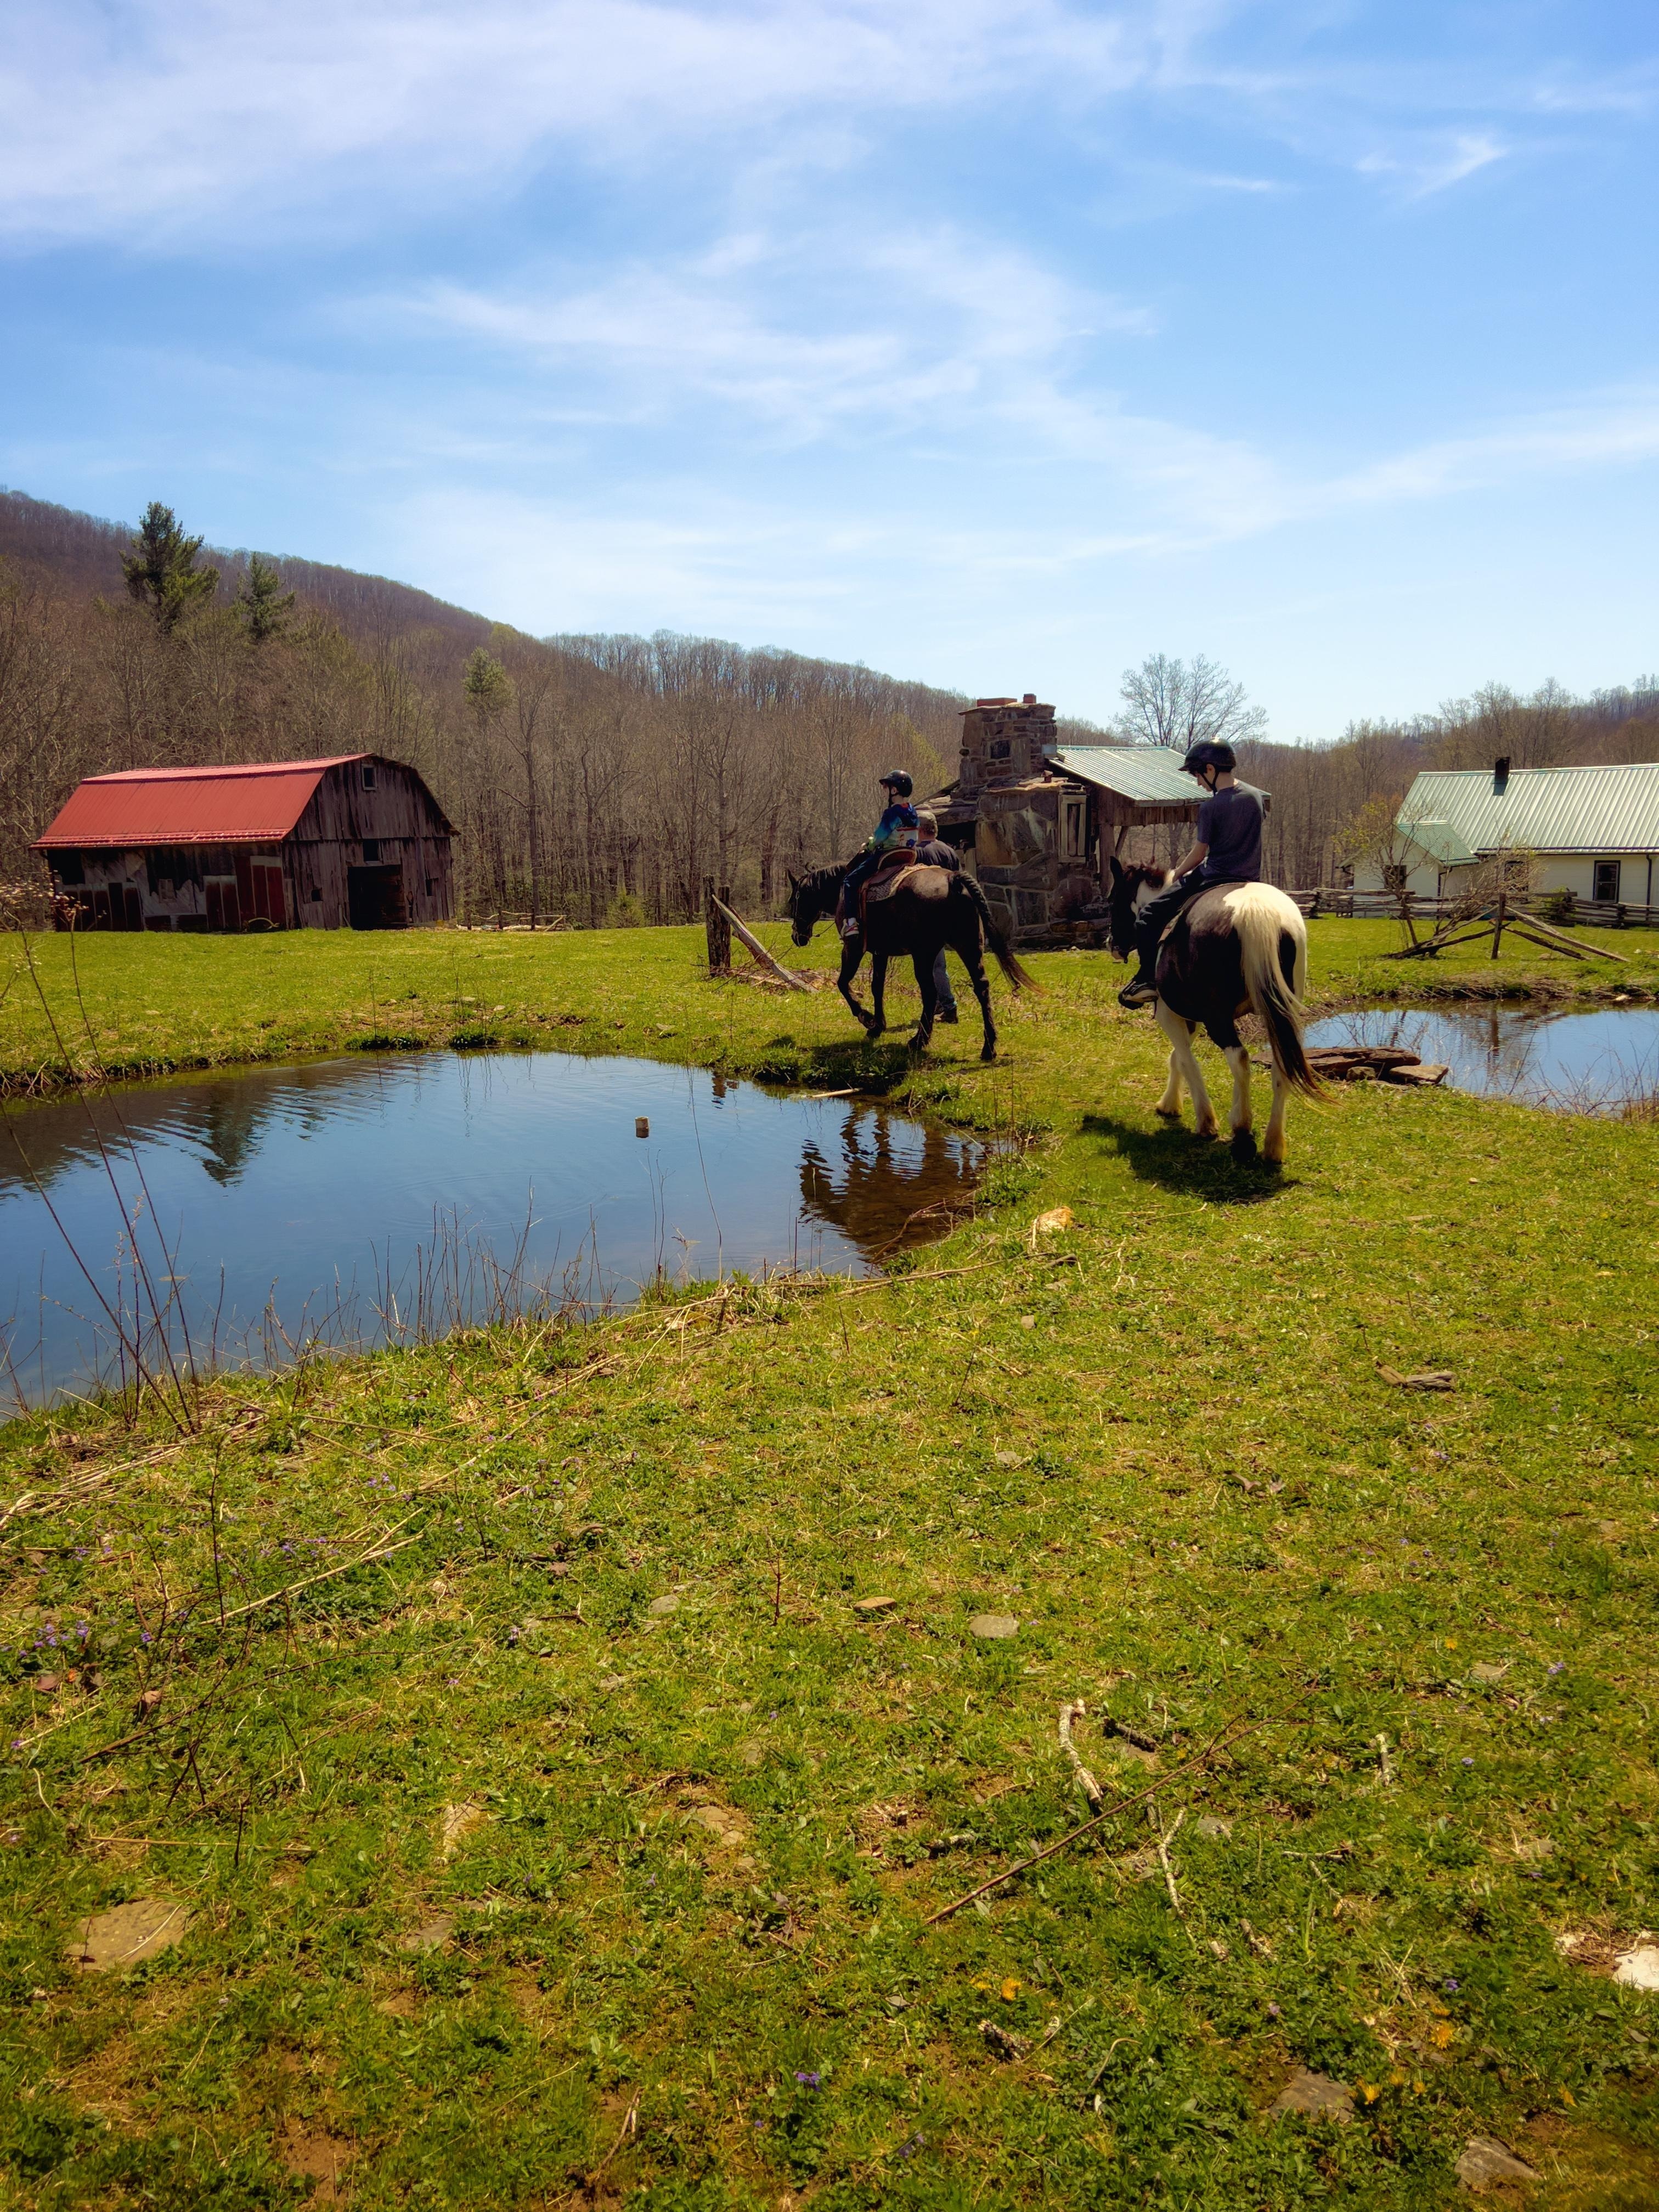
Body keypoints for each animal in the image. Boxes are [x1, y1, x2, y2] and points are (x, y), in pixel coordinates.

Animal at [784, 859, 1032, 1061]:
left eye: (794, 901)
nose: (797, 936)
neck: (841, 889)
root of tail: (952, 879)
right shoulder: (880, 952)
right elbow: (877, 987)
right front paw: (878, 1026)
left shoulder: (853, 948)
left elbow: (843, 983)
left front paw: (866, 1018)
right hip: (969, 947)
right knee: (981, 987)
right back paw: (988, 1048)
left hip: (924, 954)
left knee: (930, 993)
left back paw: (919, 1040)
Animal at [1104, 858, 1323, 1163]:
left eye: (1114, 899)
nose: (1111, 944)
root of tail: (1257, 910)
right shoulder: (1193, 1017)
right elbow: (1176, 1057)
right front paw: (1170, 1104)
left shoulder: (1170, 1014)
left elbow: (1186, 1061)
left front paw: (1205, 1121)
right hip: (1281, 1015)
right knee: (1282, 1066)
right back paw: (1273, 1145)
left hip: (1218, 1018)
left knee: (1239, 1059)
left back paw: (1242, 1128)